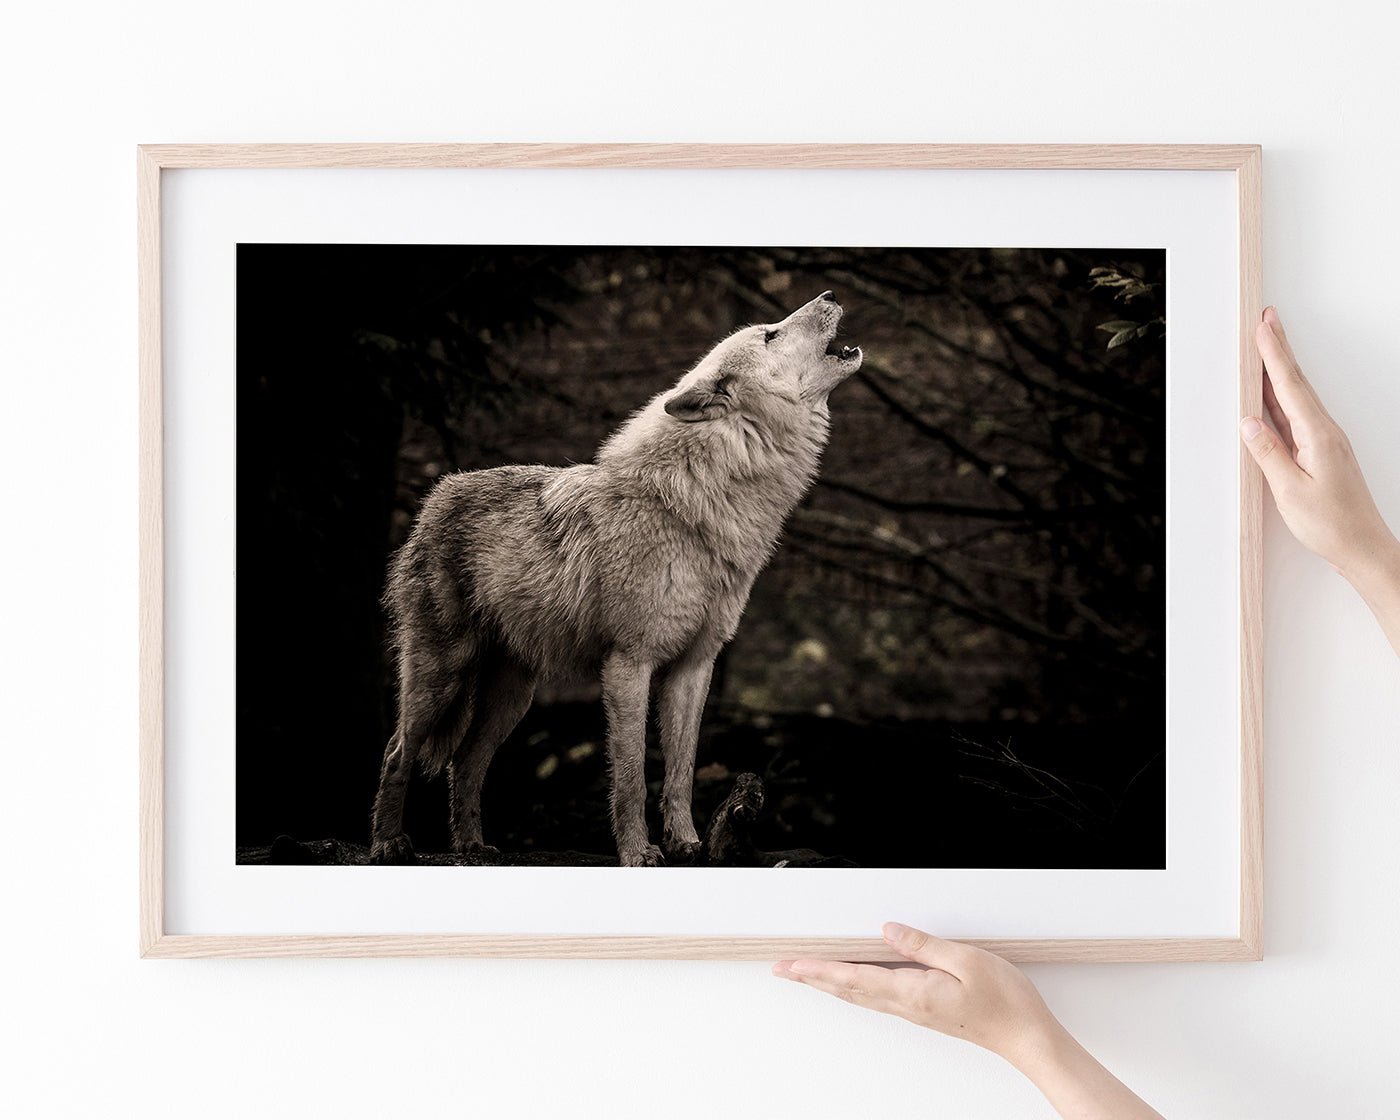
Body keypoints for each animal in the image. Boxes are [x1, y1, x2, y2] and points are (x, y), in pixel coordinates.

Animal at [369, 291, 862, 866]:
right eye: (771, 334)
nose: (829, 295)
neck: (697, 506)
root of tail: (437, 495)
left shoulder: (695, 666)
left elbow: (681, 771)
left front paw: (687, 843)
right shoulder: (630, 662)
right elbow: (631, 776)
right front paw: (638, 853)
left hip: (513, 697)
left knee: (464, 761)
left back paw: (472, 845)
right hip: (441, 676)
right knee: (397, 752)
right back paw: (387, 842)